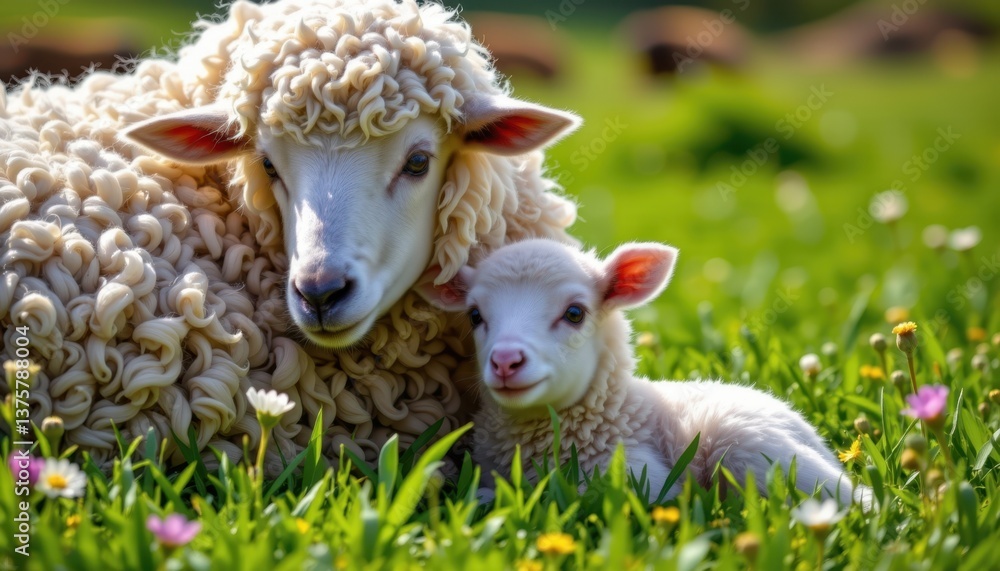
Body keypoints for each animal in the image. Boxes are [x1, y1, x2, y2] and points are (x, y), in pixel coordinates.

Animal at [417, 238, 868, 505]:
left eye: (575, 313)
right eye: (475, 315)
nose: (506, 361)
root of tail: (807, 428)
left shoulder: (637, 476)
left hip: (752, 447)